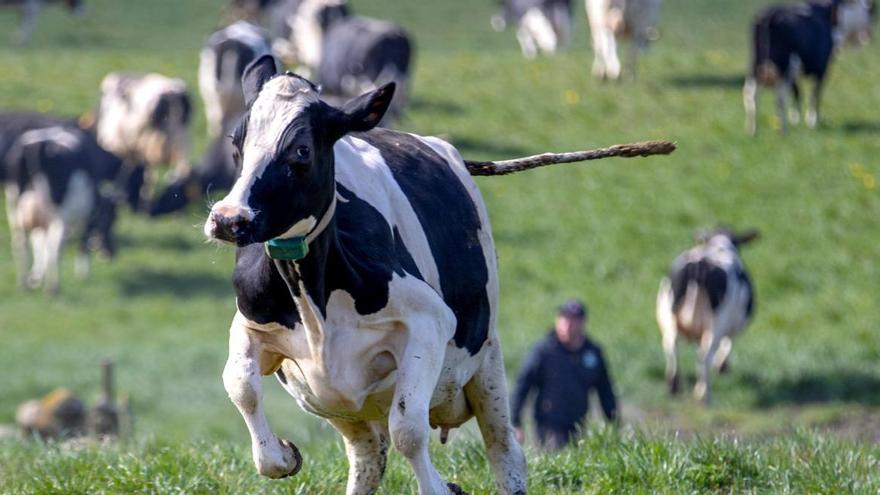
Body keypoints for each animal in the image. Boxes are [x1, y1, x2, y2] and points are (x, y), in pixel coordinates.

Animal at [656, 229, 760, 406]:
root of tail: (701, 262)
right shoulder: (732, 325)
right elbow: (728, 343)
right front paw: (722, 366)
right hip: (716, 324)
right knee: (704, 355)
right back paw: (703, 395)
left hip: (668, 315)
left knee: (671, 346)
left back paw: (674, 388)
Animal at [744, 0, 872, 136]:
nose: (868, 34)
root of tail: (770, 14)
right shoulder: (822, 67)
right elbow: (815, 94)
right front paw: (812, 121)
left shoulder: (795, 70)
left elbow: (797, 91)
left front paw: (795, 118)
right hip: (783, 65)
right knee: (780, 96)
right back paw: (782, 130)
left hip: (756, 64)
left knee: (752, 94)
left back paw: (752, 131)